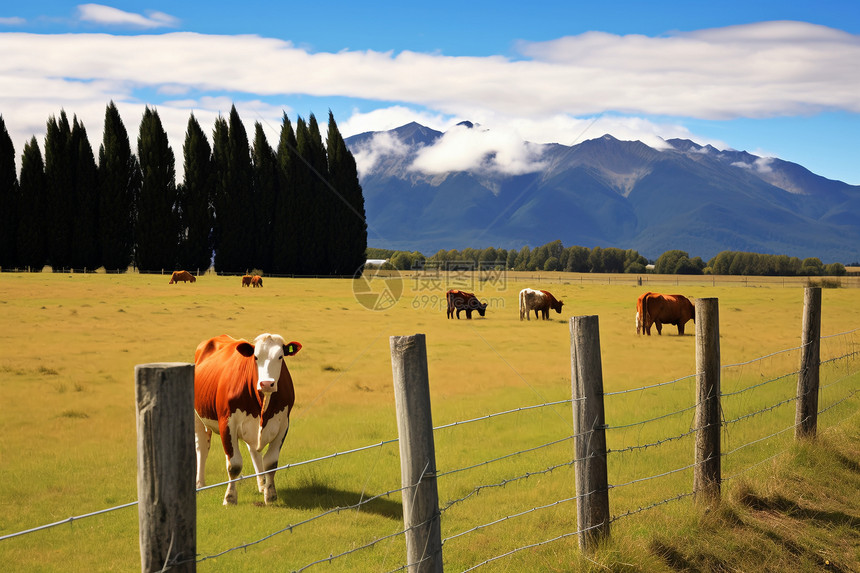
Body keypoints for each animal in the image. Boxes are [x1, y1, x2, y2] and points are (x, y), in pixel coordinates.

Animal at [195, 332, 302, 502]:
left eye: (280, 356)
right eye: (255, 357)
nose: (267, 383)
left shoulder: (283, 424)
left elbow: (271, 463)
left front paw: (270, 494)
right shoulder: (227, 423)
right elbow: (234, 464)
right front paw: (230, 497)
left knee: (254, 450)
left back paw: (261, 485)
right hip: (198, 416)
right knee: (202, 447)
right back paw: (200, 484)